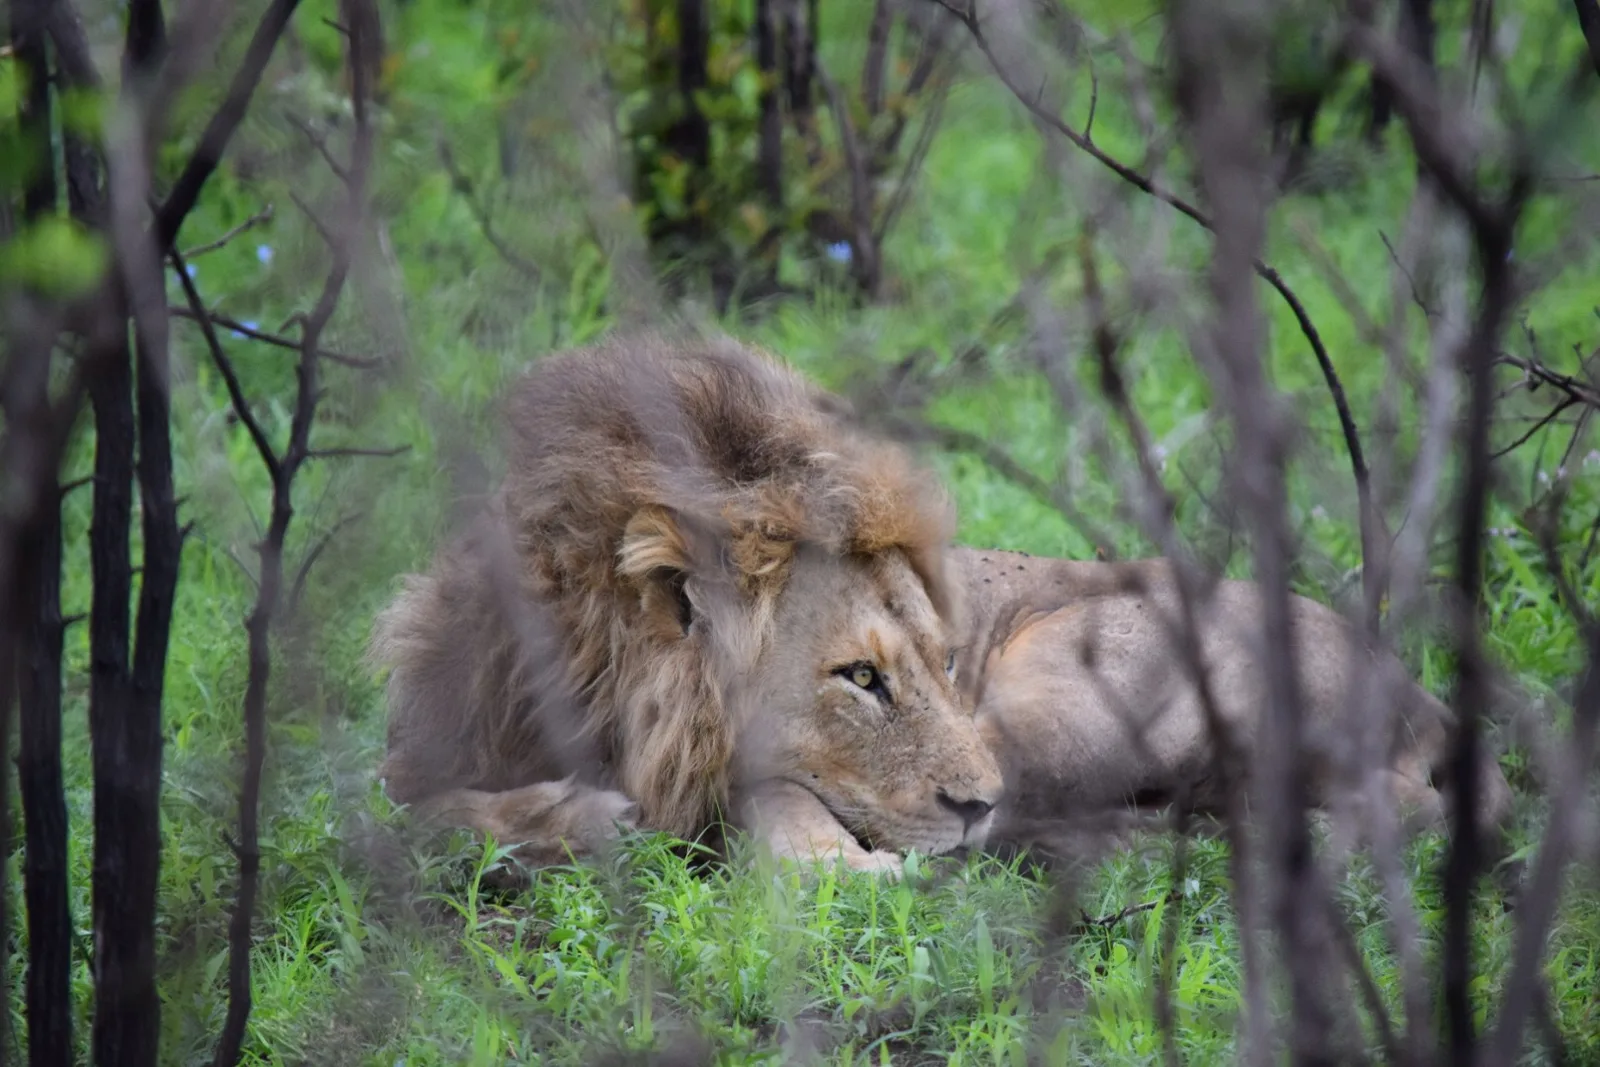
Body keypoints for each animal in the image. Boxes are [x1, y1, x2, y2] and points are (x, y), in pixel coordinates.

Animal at [372, 334, 1512, 876]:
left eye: (935, 656)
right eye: (860, 676)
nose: (968, 806)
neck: (579, 677)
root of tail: (1421, 701)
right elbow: (401, 823)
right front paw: (546, 820)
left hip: (1058, 689)